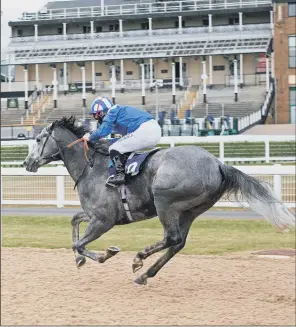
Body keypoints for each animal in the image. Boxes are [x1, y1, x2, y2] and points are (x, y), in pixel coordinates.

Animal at [24, 117, 294, 284]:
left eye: (37, 140)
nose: (27, 163)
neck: (92, 167)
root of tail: (218, 163)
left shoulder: (103, 220)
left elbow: (79, 244)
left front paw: (105, 254)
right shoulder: (94, 215)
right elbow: (73, 222)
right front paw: (80, 260)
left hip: (165, 201)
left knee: (172, 238)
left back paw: (140, 258)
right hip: (190, 211)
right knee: (177, 243)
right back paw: (145, 274)